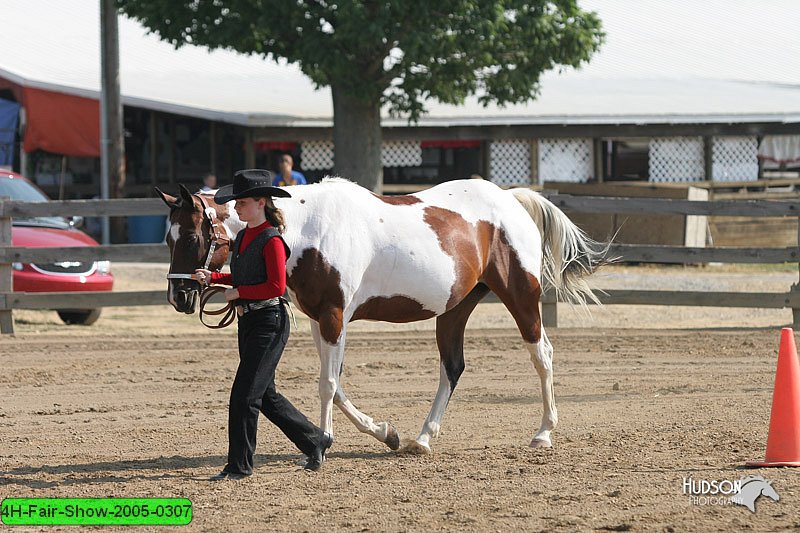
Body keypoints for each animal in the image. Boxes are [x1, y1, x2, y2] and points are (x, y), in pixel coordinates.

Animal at [155, 177, 608, 450]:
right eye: (168, 237)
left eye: (192, 236)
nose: (179, 296)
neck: (306, 228)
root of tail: (509, 199)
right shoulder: (321, 321)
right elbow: (336, 385)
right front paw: (385, 433)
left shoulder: (334, 316)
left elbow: (327, 385)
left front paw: (324, 440)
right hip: (455, 308)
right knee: (452, 367)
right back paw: (422, 439)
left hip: (521, 296)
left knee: (542, 354)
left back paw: (543, 433)